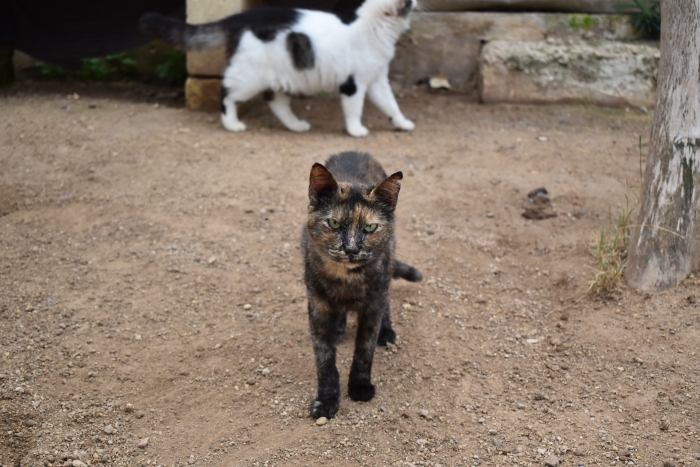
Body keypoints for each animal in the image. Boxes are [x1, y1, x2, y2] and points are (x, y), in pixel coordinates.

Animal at [140, 0, 416, 137]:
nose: (416, 1)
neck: (371, 29)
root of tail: (240, 17)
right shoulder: (353, 85)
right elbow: (354, 110)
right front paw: (355, 130)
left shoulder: (378, 81)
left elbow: (391, 105)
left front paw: (401, 123)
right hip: (248, 77)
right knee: (226, 93)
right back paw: (232, 124)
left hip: (283, 77)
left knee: (277, 104)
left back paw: (295, 126)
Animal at [303, 151, 421, 419]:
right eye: (334, 224)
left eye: (370, 227)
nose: (351, 249)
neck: (346, 280)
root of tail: (356, 152)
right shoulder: (317, 307)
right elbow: (324, 360)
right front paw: (327, 400)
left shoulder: (372, 306)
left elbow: (364, 351)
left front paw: (359, 386)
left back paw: (386, 331)